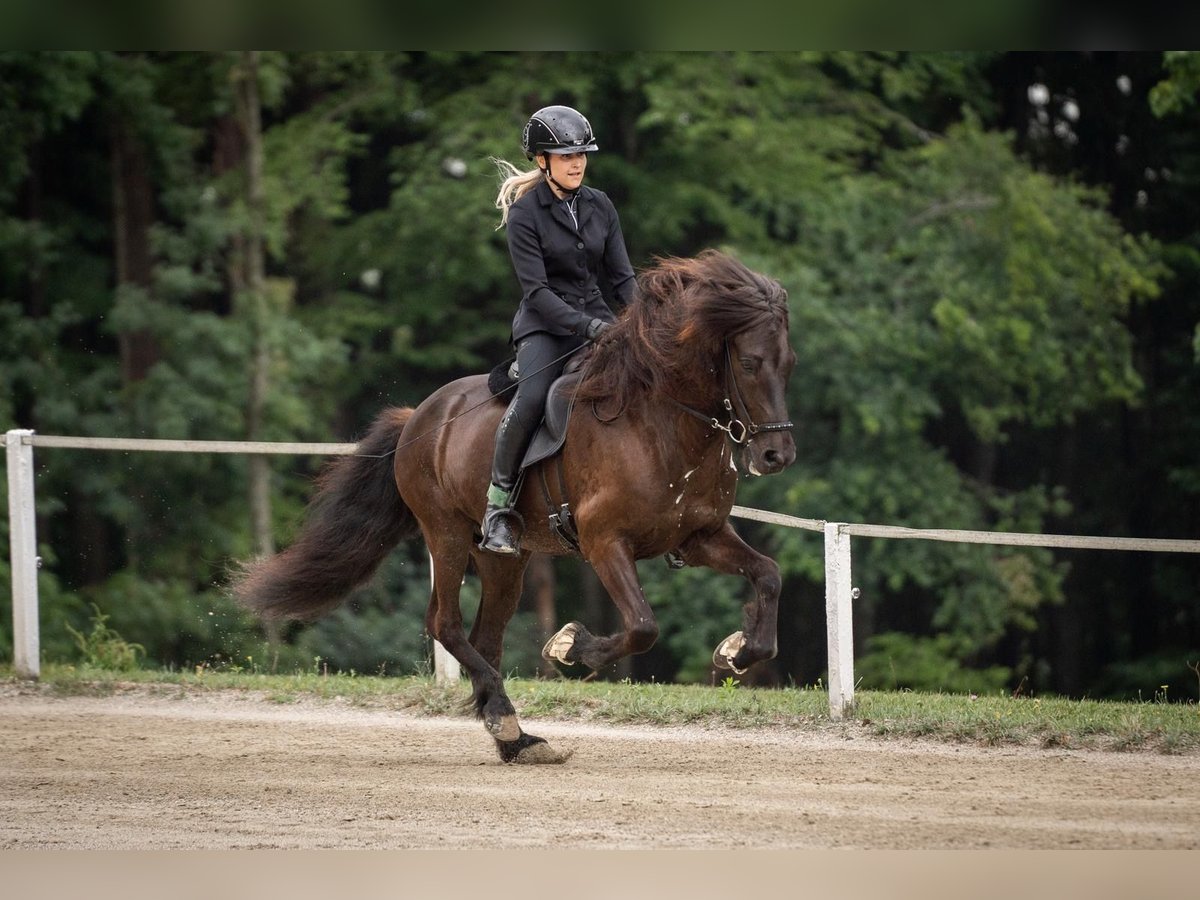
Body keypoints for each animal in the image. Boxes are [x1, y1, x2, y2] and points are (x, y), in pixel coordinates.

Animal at [231, 249, 797, 763]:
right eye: (749, 363)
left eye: (788, 364)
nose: (777, 456)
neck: (661, 421)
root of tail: (419, 417)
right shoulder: (604, 540)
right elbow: (642, 626)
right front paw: (570, 645)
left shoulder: (699, 536)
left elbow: (769, 576)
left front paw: (737, 650)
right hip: (446, 532)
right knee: (445, 624)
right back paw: (504, 718)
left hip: (505, 559)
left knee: (486, 636)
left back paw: (514, 738)